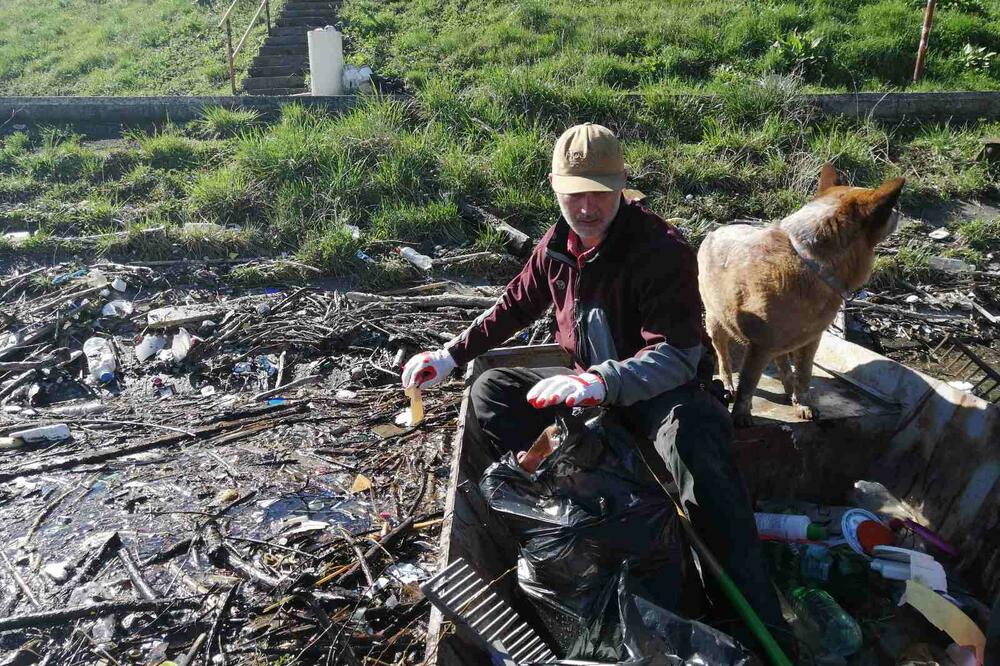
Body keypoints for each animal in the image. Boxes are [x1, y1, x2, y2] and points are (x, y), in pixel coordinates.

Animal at [700, 166, 904, 426]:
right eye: (889, 208)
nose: (899, 210)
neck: (812, 261)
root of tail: (717, 229)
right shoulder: (760, 346)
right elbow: (748, 383)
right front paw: (741, 416)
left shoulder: (811, 339)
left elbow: (804, 375)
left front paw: (804, 406)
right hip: (715, 321)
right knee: (724, 356)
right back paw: (728, 385)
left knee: (782, 362)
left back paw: (789, 390)